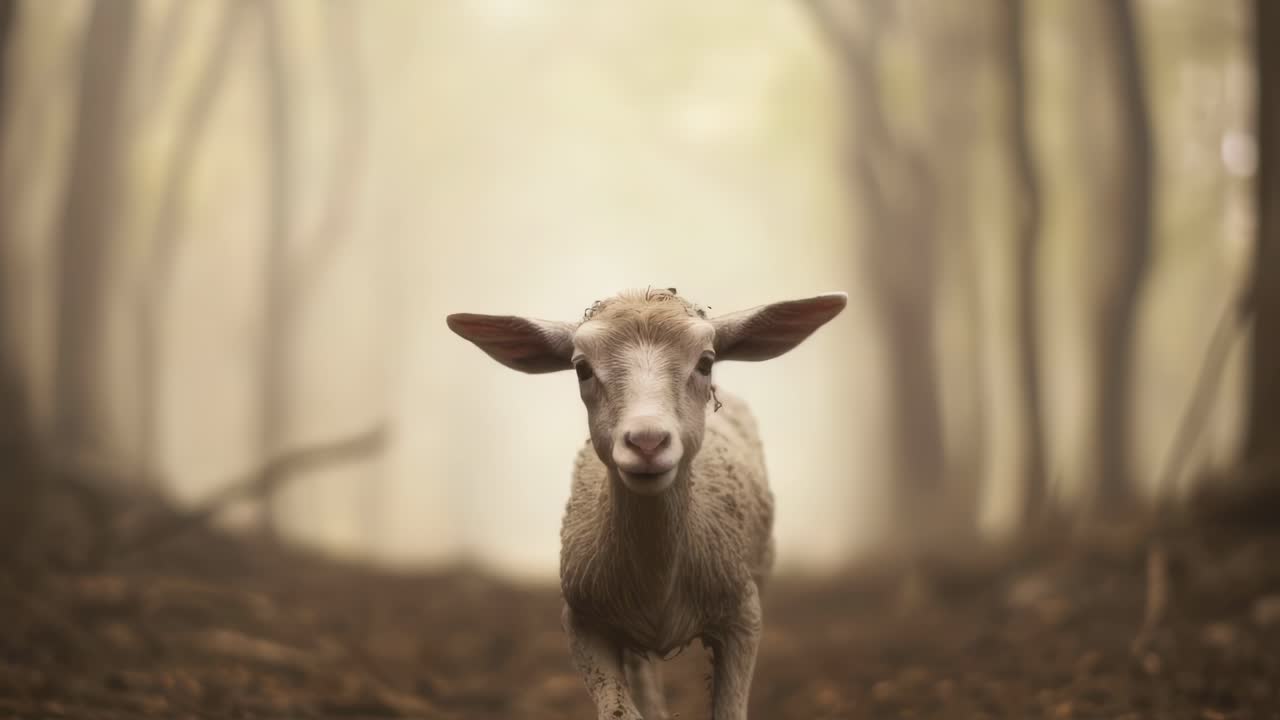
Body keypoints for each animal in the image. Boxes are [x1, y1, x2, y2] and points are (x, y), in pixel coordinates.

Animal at [447, 288, 847, 720]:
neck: (659, 582)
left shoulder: (744, 614)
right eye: (581, 368)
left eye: (706, 362)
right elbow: (620, 712)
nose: (647, 442)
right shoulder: (582, 621)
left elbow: (729, 710)